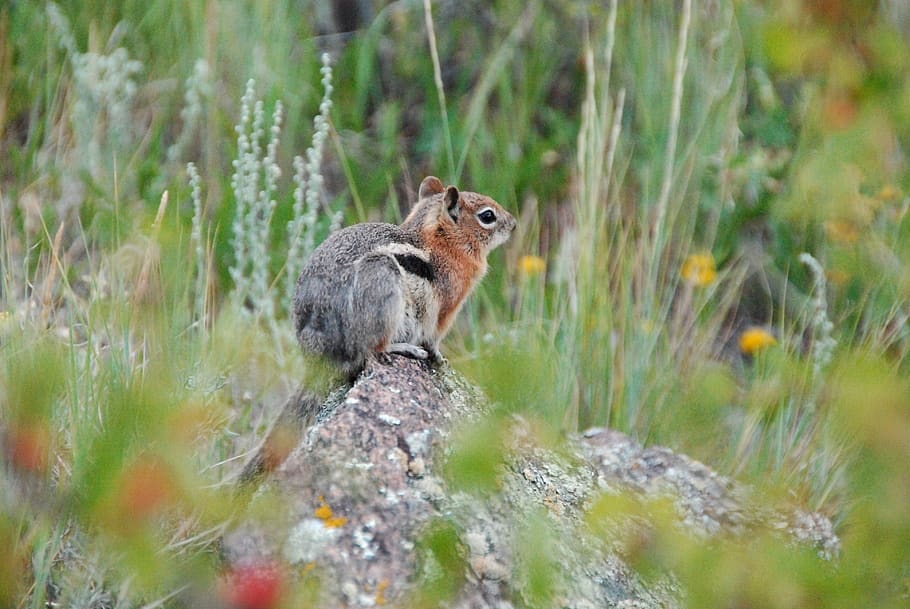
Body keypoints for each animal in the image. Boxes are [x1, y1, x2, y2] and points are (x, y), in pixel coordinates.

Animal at [237, 176, 516, 493]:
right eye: (487, 216)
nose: (513, 224)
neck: (441, 241)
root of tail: (317, 360)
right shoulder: (446, 309)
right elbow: (434, 338)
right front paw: (438, 357)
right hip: (382, 281)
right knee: (372, 351)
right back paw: (404, 348)